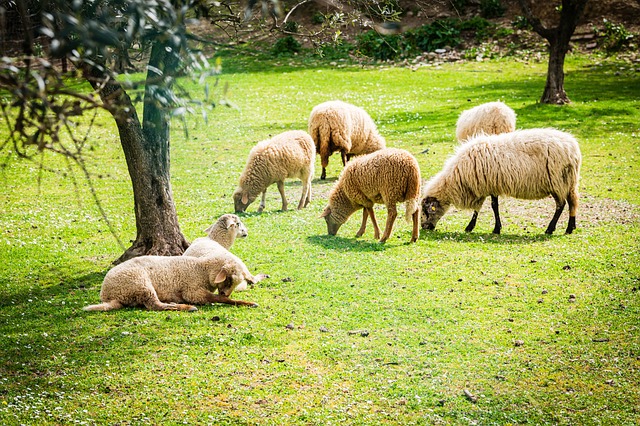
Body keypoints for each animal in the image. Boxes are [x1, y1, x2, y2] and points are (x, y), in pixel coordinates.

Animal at [82, 251, 268, 312]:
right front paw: (247, 303)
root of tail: (109, 296)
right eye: (229, 280)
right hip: (140, 283)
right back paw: (186, 307)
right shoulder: (192, 291)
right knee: (155, 306)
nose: (226, 292)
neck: (201, 269)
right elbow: (219, 299)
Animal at [422, 128, 584, 235]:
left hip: (558, 181)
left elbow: (488, 207)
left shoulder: (483, 186)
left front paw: (476, 227)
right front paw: (490, 228)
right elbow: (488, 206)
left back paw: (550, 229)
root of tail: (574, 148)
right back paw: (570, 228)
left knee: (561, 205)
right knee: (572, 202)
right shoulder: (488, 186)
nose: (424, 227)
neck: (456, 177)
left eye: (426, 211)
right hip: (569, 182)